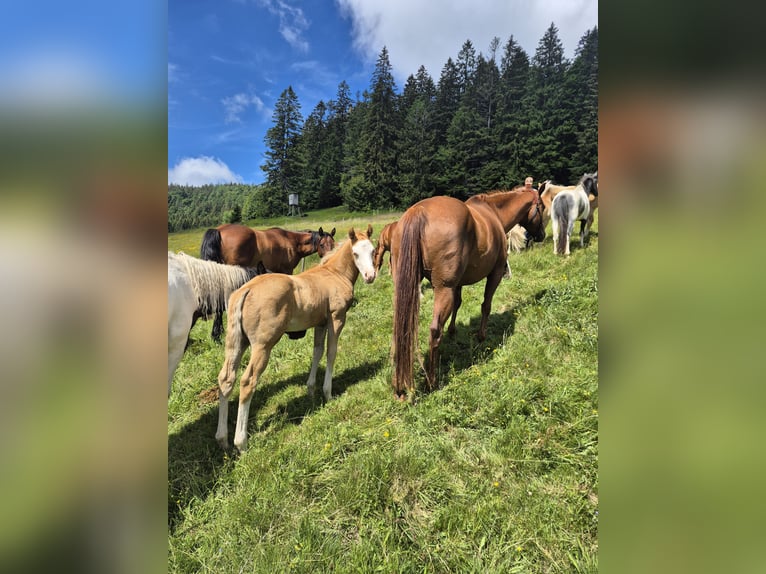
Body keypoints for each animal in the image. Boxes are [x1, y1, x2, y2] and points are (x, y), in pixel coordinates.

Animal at [200, 224, 336, 341]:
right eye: (322, 244)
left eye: (333, 244)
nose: (329, 260)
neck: (292, 241)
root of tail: (219, 230)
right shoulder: (286, 270)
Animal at [215, 225, 377, 451]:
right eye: (355, 254)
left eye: (373, 250)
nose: (370, 276)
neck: (334, 273)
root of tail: (247, 289)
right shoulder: (336, 318)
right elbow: (331, 352)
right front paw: (328, 392)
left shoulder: (320, 323)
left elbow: (317, 352)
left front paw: (310, 389)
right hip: (263, 345)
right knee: (247, 382)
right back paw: (241, 442)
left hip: (237, 342)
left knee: (226, 379)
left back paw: (223, 439)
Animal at [390, 188, 545, 400]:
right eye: (542, 207)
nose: (542, 235)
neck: (494, 213)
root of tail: (418, 212)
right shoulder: (495, 273)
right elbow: (486, 305)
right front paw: (481, 336)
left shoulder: (458, 283)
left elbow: (458, 304)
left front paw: (453, 330)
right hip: (444, 289)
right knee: (434, 331)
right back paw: (432, 381)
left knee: (400, 327)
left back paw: (398, 385)